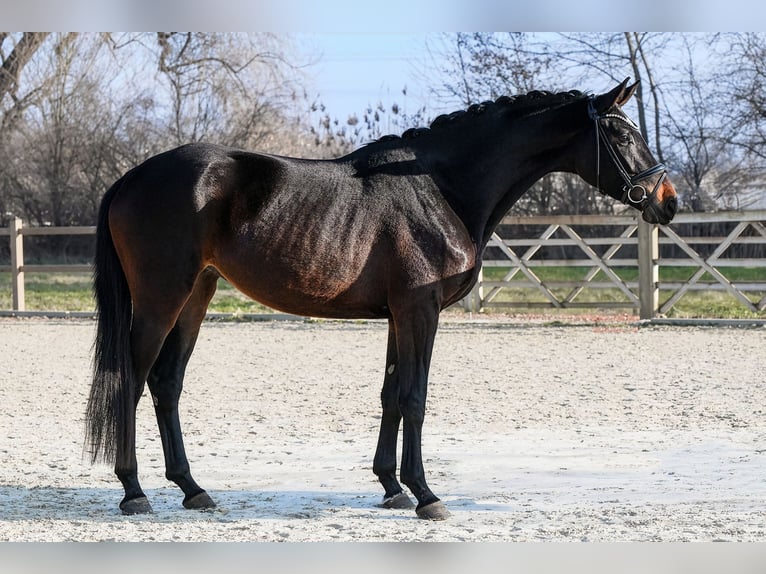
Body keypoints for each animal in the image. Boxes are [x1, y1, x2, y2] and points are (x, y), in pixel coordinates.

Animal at [85, 78, 678, 520]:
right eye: (621, 134)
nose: (668, 202)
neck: (439, 186)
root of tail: (130, 178)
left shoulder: (399, 315)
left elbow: (391, 395)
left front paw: (392, 488)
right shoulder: (420, 310)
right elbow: (415, 397)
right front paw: (427, 495)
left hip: (197, 295)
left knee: (166, 384)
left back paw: (193, 489)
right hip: (161, 298)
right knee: (131, 381)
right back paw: (134, 492)